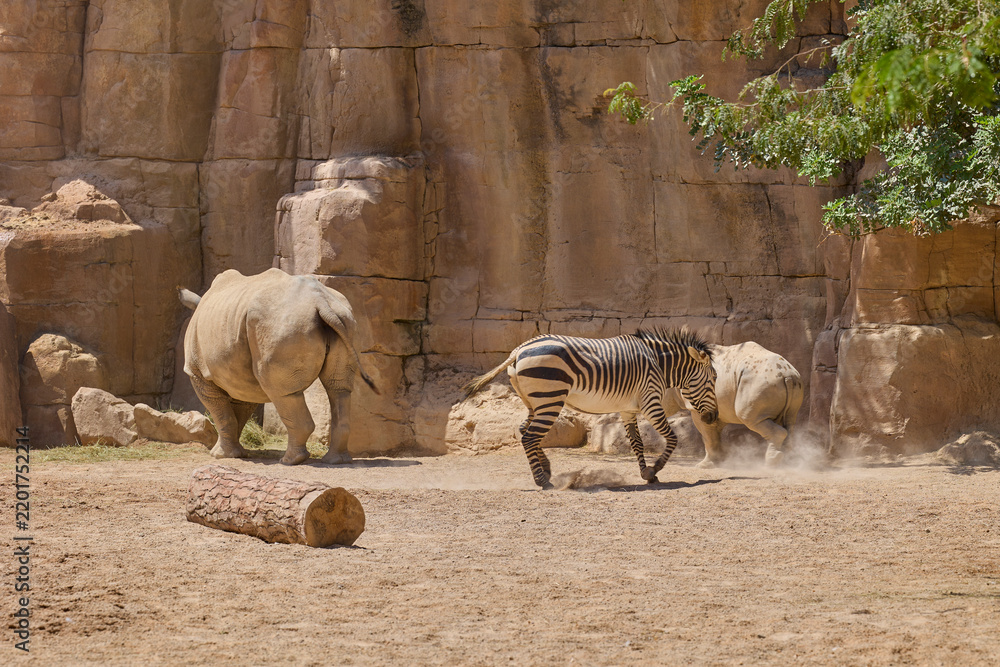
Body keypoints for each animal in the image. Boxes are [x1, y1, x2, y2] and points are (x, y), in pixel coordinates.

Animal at [462, 328, 718, 488]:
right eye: (714, 379)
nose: (713, 417)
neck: (659, 363)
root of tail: (519, 349)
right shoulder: (651, 402)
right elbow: (672, 438)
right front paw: (654, 470)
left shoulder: (628, 409)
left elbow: (637, 443)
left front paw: (646, 473)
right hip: (550, 399)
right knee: (530, 436)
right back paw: (543, 481)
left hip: (535, 402)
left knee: (524, 430)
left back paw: (546, 469)